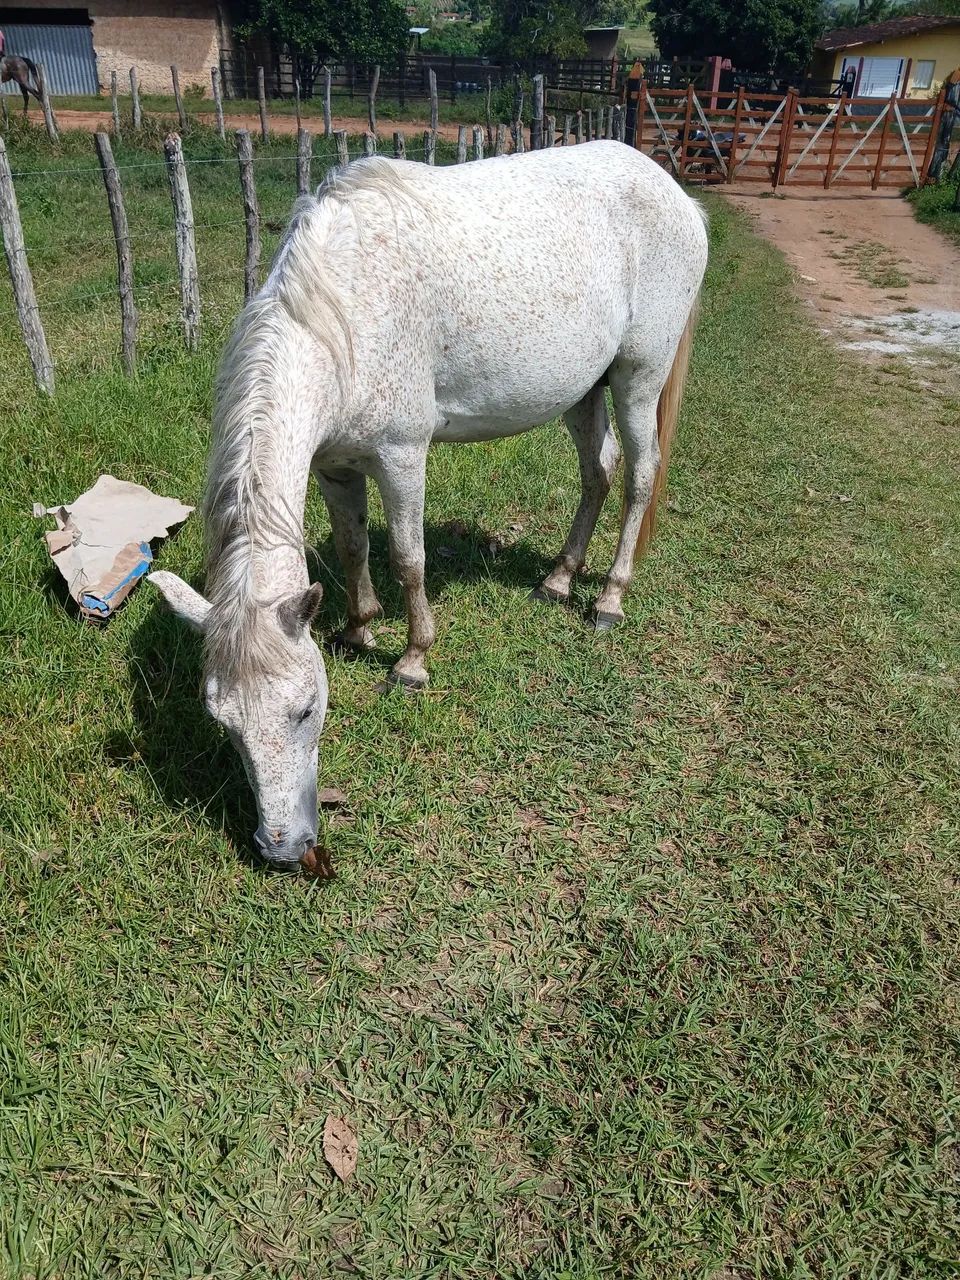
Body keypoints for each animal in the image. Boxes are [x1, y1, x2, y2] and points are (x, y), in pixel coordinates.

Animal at [149, 140, 708, 869]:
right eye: (224, 722)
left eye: (305, 710)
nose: (282, 846)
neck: (344, 310)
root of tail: (677, 195)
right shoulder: (335, 466)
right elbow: (354, 547)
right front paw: (358, 628)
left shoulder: (401, 456)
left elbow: (408, 558)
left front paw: (412, 661)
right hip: (584, 389)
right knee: (598, 474)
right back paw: (558, 579)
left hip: (639, 378)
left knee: (640, 477)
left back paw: (609, 597)